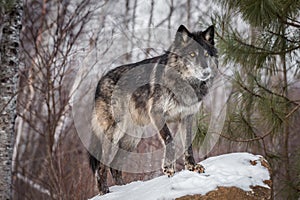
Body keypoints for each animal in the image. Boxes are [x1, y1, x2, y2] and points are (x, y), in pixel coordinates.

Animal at [89, 24, 218, 195]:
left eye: (206, 54)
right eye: (192, 54)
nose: (206, 72)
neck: (184, 83)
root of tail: (100, 81)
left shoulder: (187, 117)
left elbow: (188, 145)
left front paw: (192, 166)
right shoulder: (157, 114)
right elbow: (170, 140)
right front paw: (168, 167)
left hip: (132, 138)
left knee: (115, 168)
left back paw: (124, 189)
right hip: (115, 134)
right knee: (101, 167)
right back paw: (105, 191)